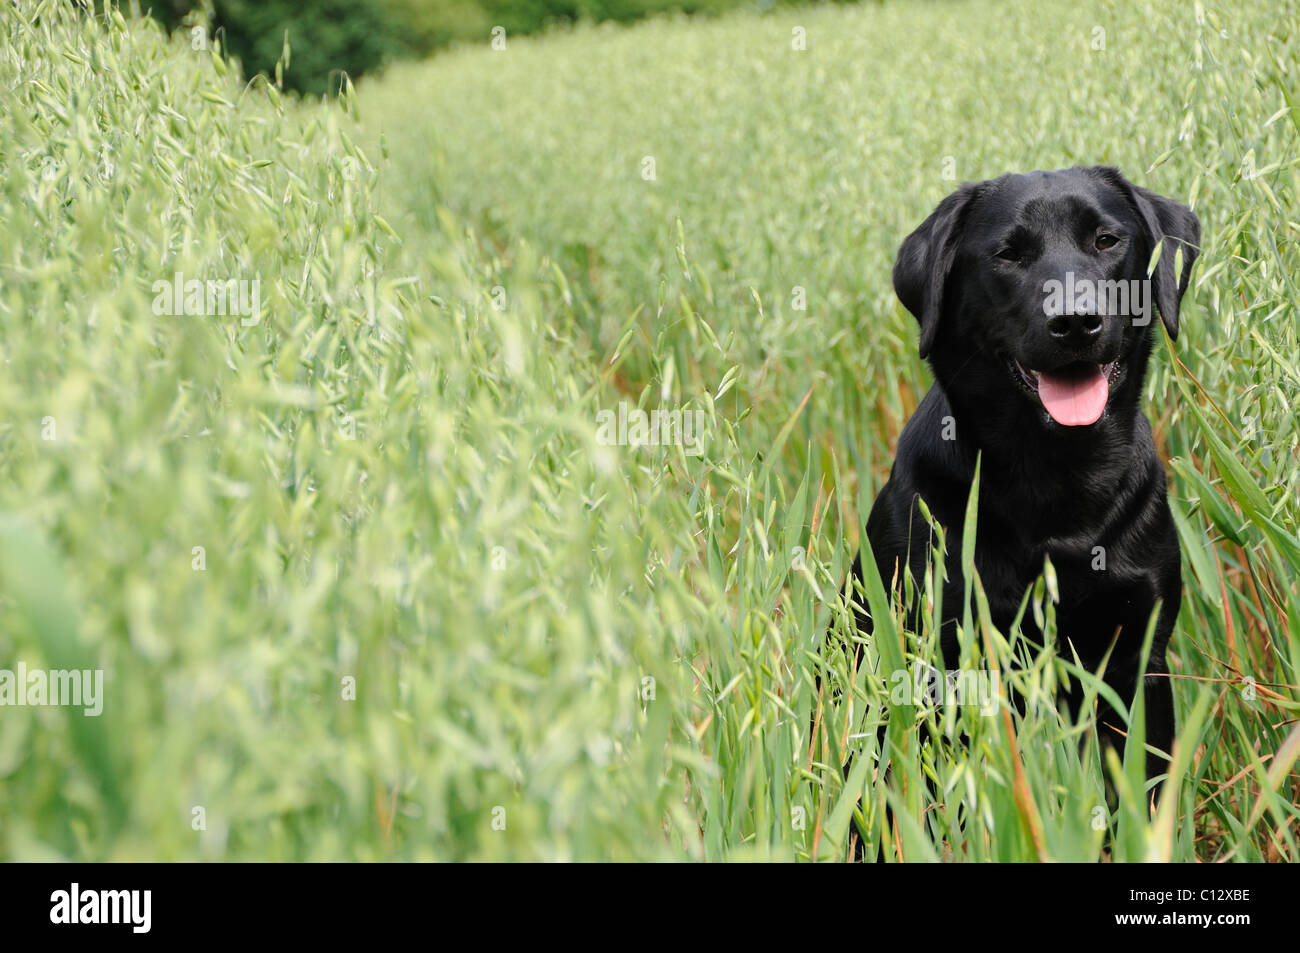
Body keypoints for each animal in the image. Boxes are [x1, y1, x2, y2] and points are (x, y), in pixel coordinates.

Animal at [852, 163, 1196, 785]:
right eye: (1008, 255)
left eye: (1106, 241)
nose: (1075, 321)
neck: (1058, 477)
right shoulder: (944, 657)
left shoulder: (1138, 661)